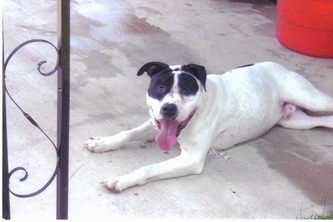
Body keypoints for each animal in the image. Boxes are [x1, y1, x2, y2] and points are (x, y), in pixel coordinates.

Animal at [84, 61, 332, 193]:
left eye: (186, 90)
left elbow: (149, 168)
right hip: (295, 122)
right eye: (160, 87)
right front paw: (103, 143)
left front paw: (121, 180)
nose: (169, 109)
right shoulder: (155, 123)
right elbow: (127, 134)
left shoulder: (191, 159)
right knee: (325, 120)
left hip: (311, 99)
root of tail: (278, 65)